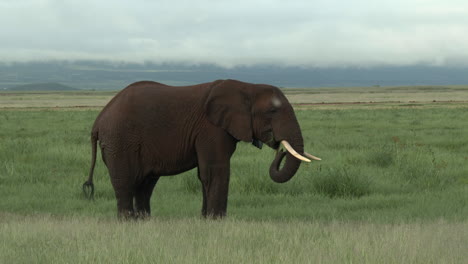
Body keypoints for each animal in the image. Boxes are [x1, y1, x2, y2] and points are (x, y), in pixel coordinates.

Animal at [82, 79, 320, 219]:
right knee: (126, 180)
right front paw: (217, 220)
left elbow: (205, 174)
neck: (247, 87)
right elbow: (215, 171)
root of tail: (98, 120)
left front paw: (206, 219)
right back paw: (128, 221)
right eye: (272, 111)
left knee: (145, 183)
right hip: (119, 141)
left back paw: (144, 220)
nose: (280, 148)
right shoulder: (211, 128)